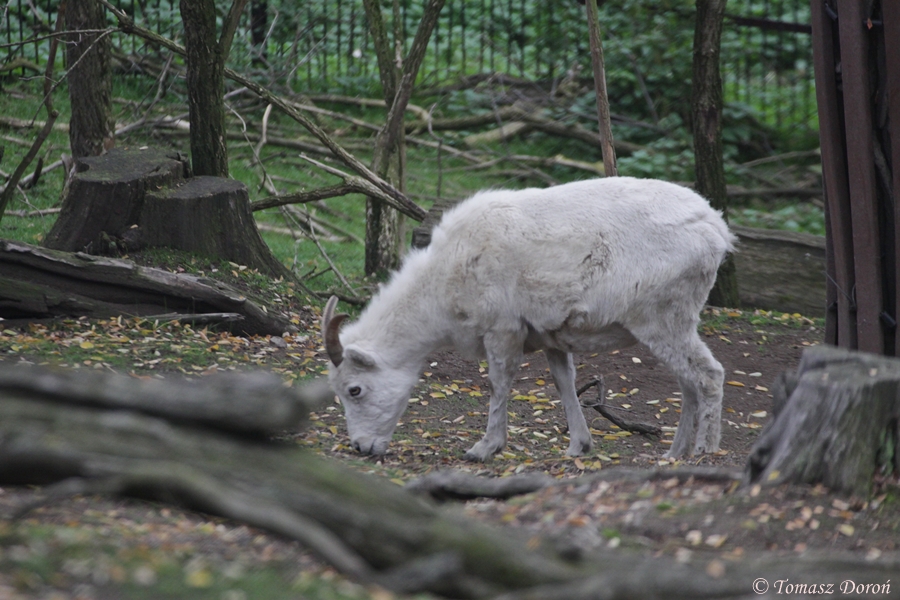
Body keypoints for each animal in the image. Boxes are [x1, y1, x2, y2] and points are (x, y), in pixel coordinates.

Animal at [322, 176, 737, 462]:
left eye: (354, 390)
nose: (360, 447)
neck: (444, 283)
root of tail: (717, 231)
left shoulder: (502, 329)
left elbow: (498, 384)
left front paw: (483, 448)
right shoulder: (552, 338)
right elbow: (564, 383)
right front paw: (578, 447)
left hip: (664, 320)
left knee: (708, 374)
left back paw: (704, 451)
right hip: (672, 324)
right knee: (688, 383)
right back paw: (673, 454)